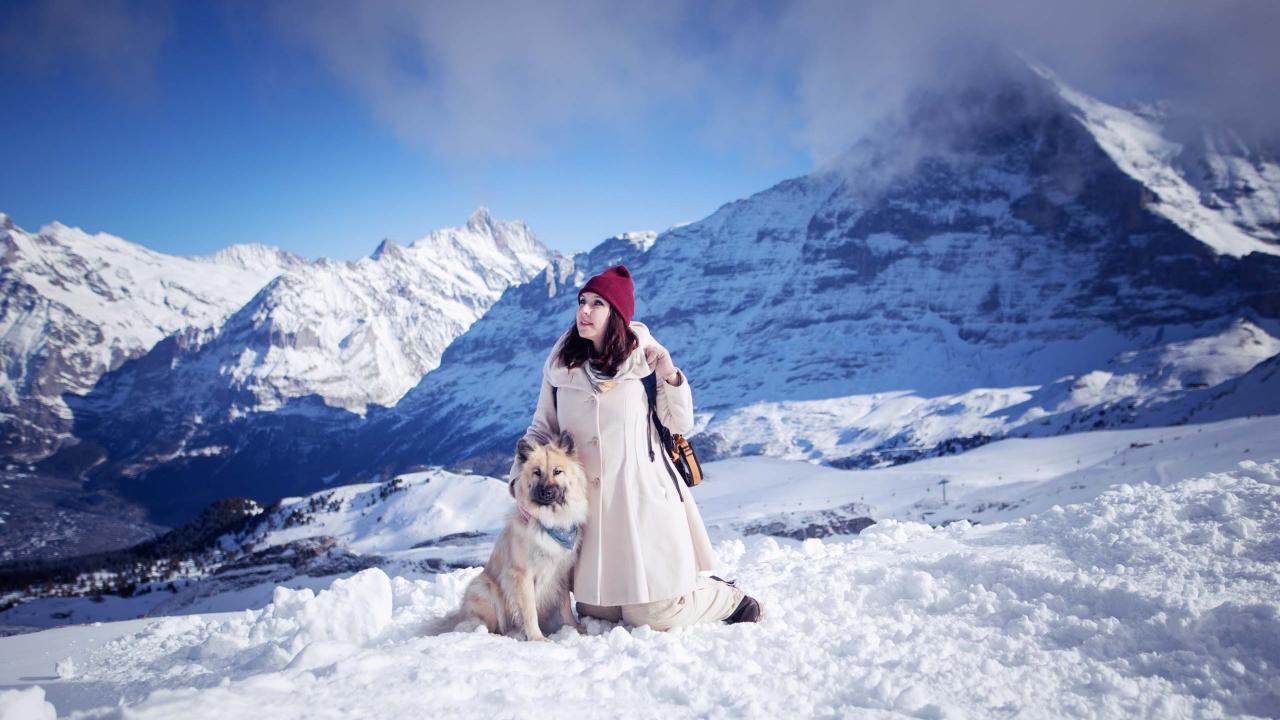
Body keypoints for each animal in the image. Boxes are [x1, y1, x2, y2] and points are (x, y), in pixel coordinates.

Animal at [440, 427, 588, 635]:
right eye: (537, 472)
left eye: (557, 471)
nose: (546, 493)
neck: (548, 522)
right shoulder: (522, 575)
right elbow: (529, 611)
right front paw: (537, 637)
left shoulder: (561, 573)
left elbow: (565, 605)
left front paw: (573, 627)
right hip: (484, 588)